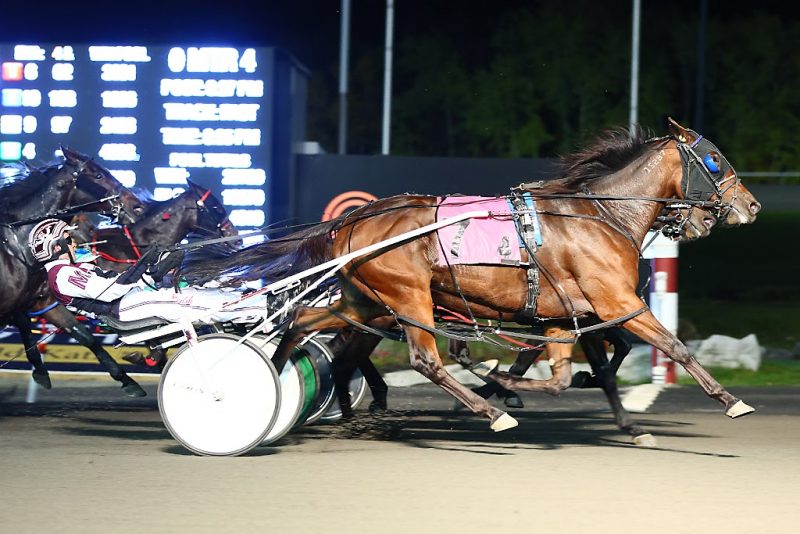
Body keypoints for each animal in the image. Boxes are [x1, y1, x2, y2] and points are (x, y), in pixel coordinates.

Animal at [0, 149, 145, 396]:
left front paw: (127, 380)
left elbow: (83, 335)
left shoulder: (41, 302)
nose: (136, 205)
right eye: (98, 175)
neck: (17, 246)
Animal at [183, 119, 764, 434]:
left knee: (305, 321)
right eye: (714, 158)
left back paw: (277, 382)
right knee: (423, 360)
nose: (752, 205)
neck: (599, 215)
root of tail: (350, 220)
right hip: (407, 298)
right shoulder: (618, 303)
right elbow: (673, 346)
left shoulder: (563, 316)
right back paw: (487, 411)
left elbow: (561, 373)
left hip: (363, 301)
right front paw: (730, 400)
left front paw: (511, 380)